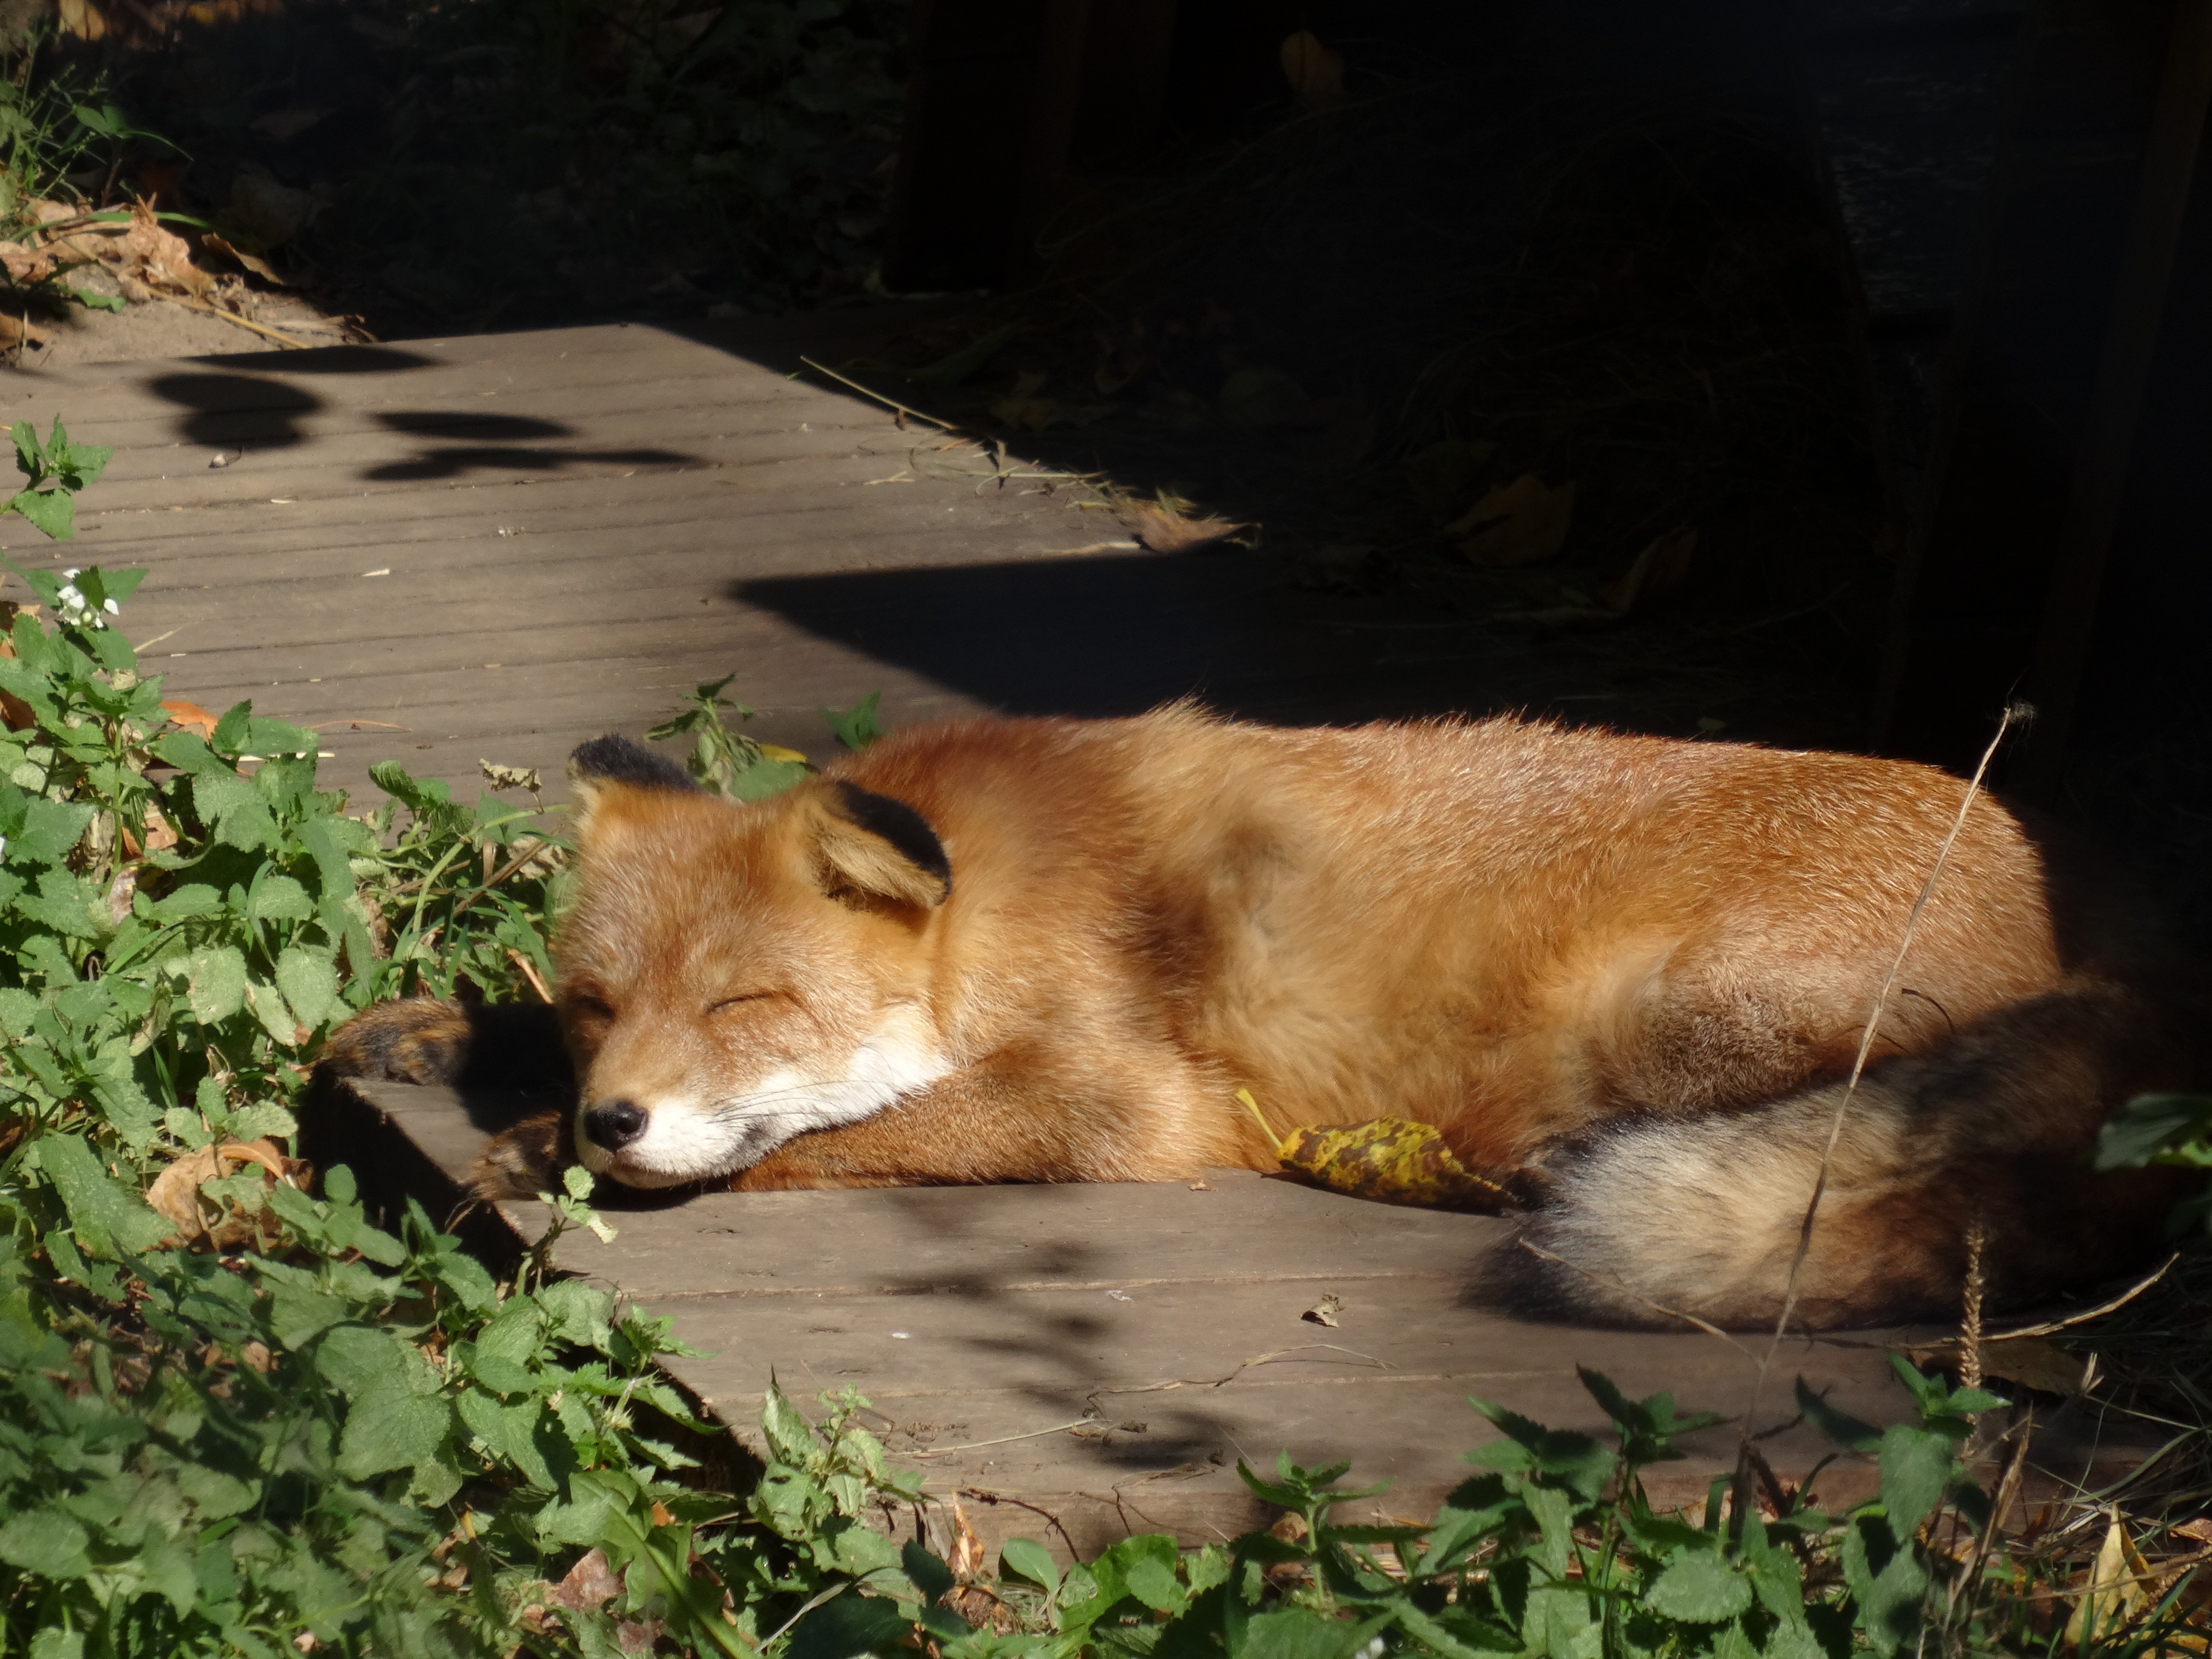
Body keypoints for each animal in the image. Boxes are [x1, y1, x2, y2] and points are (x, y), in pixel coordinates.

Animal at [320, 707, 2203, 1336]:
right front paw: (437, 1033)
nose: (611, 1118)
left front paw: (546, 1151)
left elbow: (841, 1139)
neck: (1003, 900)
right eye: (597, 1004)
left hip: (1670, 1018)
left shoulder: (1126, 1101)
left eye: (748, 1006)